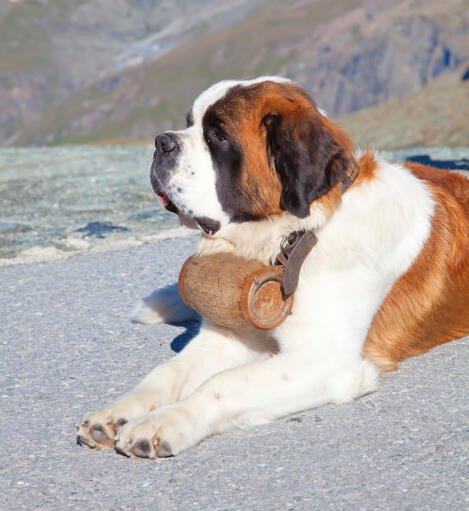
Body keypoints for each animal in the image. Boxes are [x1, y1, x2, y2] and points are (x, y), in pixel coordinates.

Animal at [77, 75, 468, 456]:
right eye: (189, 123)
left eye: (219, 136)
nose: (162, 142)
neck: (295, 236)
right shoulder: (228, 337)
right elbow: (167, 371)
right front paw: (117, 412)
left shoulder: (326, 359)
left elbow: (224, 382)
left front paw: (163, 422)